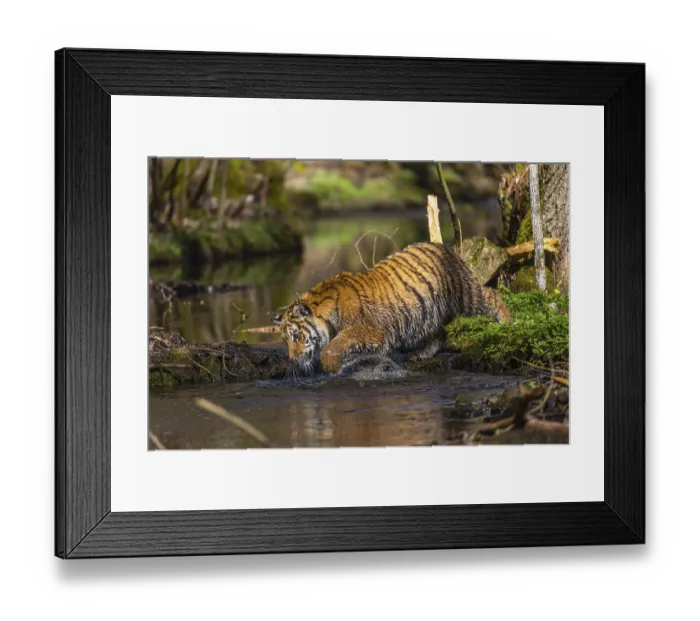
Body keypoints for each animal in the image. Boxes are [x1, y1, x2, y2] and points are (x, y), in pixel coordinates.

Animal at [273, 241, 511, 375]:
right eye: (285, 341)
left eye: (295, 335)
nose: (292, 359)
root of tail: (442, 245)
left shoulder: (370, 328)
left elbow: (342, 339)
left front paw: (329, 362)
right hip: (422, 316)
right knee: (439, 334)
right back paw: (422, 354)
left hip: (466, 295)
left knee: (493, 296)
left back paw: (508, 323)